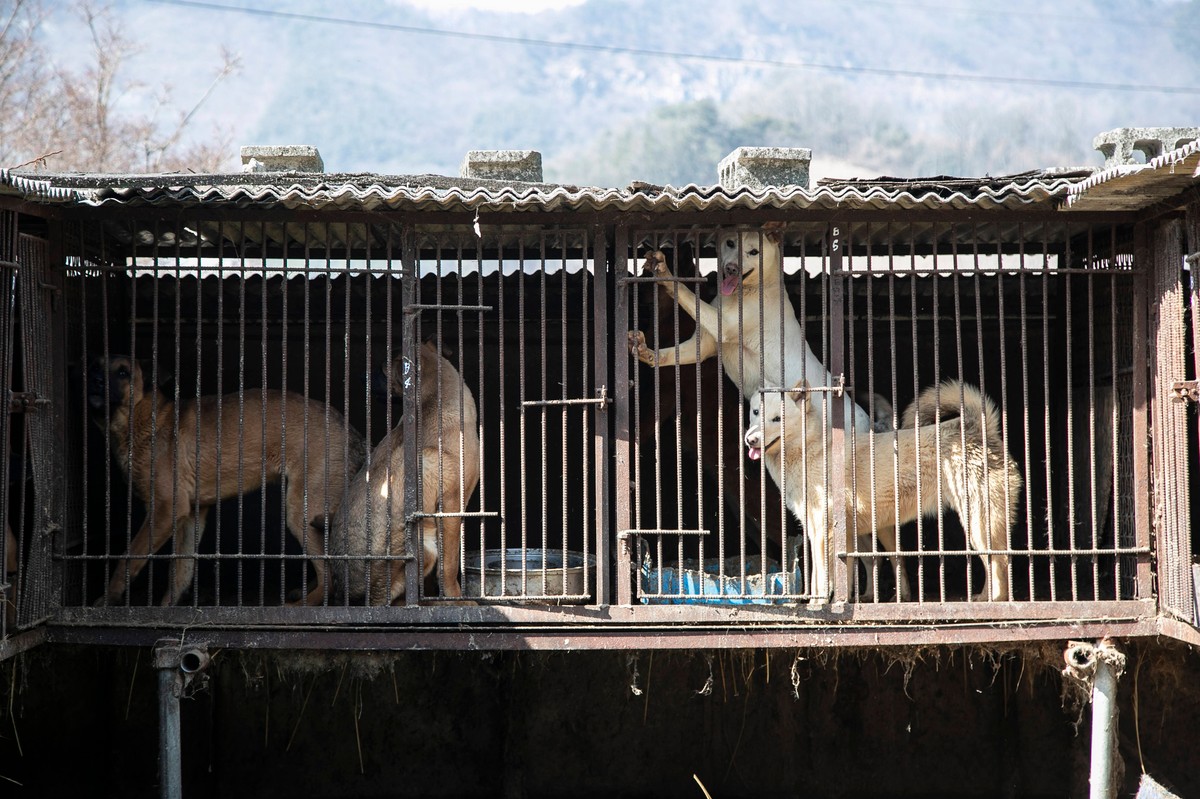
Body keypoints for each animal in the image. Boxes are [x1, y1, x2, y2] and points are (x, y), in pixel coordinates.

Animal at [87, 355, 364, 604]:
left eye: (123, 372)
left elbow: (128, 558)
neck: (143, 421)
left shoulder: (165, 510)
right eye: (95, 366)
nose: (95, 381)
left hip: (301, 510)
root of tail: (349, 428)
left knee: (328, 575)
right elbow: (180, 574)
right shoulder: (190, 515)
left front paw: (107, 599)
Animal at [331, 343, 480, 604]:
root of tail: (347, 594)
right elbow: (450, 565)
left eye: (382, 369)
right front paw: (455, 598)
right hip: (422, 542)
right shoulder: (451, 508)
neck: (432, 402)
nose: (360, 378)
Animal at [628, 224, 883, 431]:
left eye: (754, 252)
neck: (746, 291)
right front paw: (643, 350)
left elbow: (684, 292)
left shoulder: (724, 325)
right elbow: (669, 354)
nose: (731, 268)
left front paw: (664, 272)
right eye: (730, 243)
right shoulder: (704, 344)